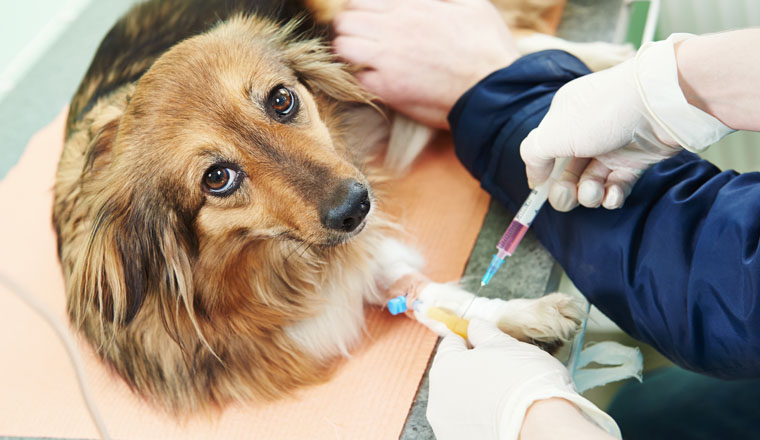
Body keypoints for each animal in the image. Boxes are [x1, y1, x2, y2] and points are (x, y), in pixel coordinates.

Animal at [53, 0, 624, 412]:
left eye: (281, 99)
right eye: (216, 178)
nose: (357, 206)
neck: (268, 265)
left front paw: (519, 312)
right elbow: (426, 300)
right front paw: (513, 324)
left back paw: (612, 69)